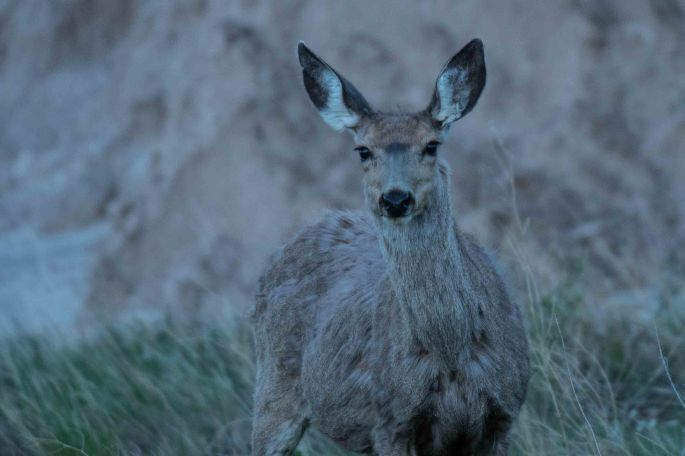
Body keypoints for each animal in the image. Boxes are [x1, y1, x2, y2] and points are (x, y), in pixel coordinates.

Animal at [251, 39, 530, 455]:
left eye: (431, 145)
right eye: (363, 151)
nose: (396, 198)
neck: (450, 353)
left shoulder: (504, 413)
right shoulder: (390, 420)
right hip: (273, 390)